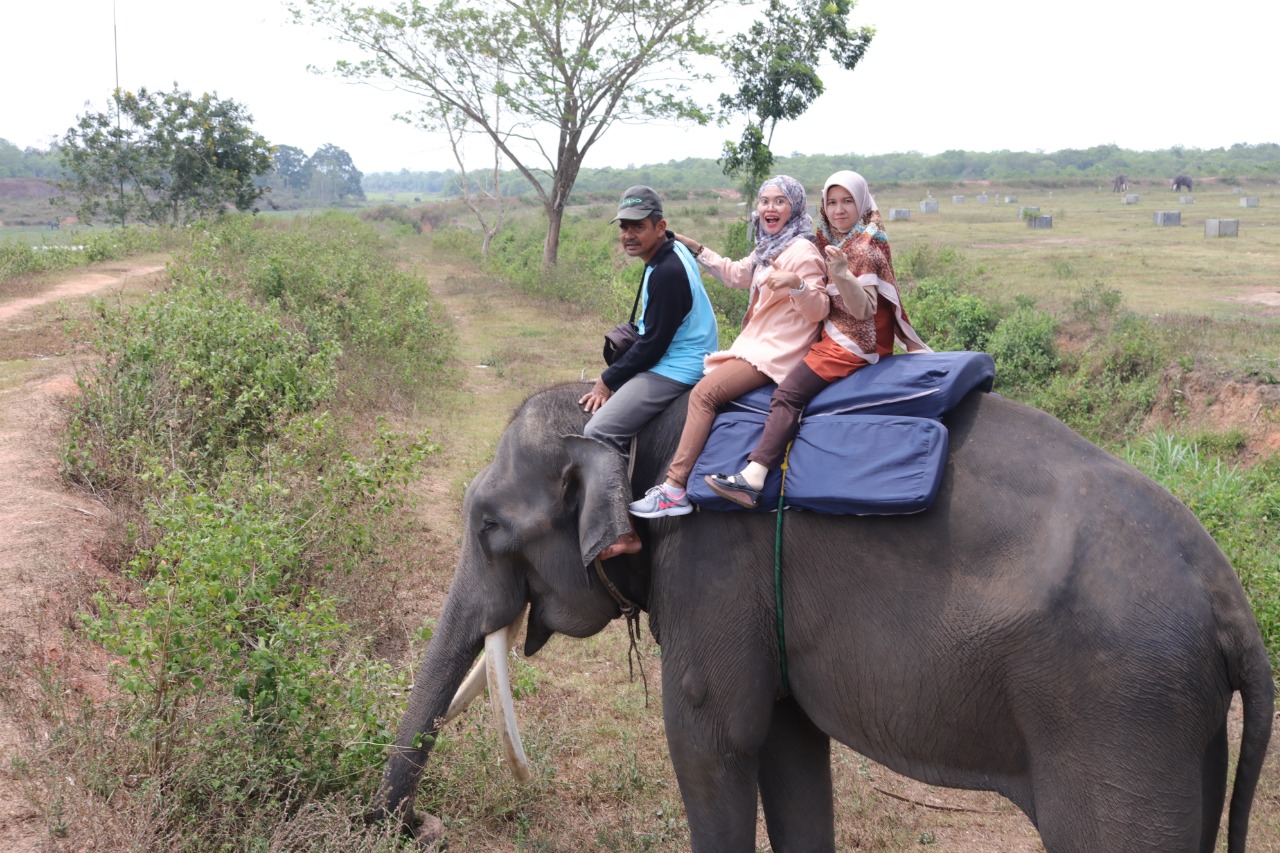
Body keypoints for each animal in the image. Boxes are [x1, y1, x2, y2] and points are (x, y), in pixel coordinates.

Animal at [371, 381, 1269, 845]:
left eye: (489, 526)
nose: (424, 824)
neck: (645, 424)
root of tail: (1231, 600)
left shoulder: (712, 562)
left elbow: (709, 741)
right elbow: (790, 748)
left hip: (1120, 708)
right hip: (1180, 724)